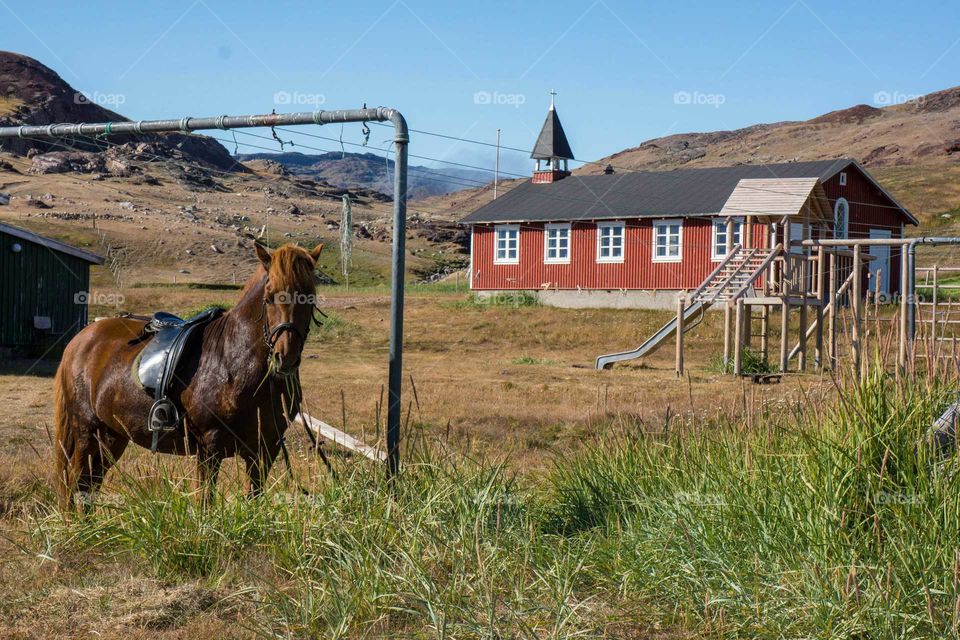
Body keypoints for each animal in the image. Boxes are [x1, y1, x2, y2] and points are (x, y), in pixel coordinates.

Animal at [52, 242, 322, 508]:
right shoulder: (209, 447)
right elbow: (205, 501)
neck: (236, 361)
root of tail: (80, 339)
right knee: (74, 484)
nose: (285, 357)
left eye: (309, 297)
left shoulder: (265, 449)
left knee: (89, 485)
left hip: (111, 436)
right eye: (269, 298)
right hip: (86, 431)